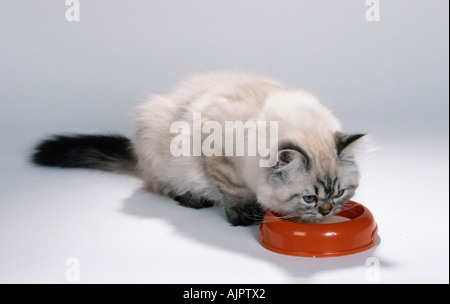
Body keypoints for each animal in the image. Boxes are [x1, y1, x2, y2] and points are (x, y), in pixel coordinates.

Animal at [31, 72, 364, 226]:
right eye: (309, 198)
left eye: (338, 194)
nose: (326, 211)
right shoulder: (217, 152)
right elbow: (234, 192)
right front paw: (244, 218)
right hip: (153, 132)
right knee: (161, 186)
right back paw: (192, 199)